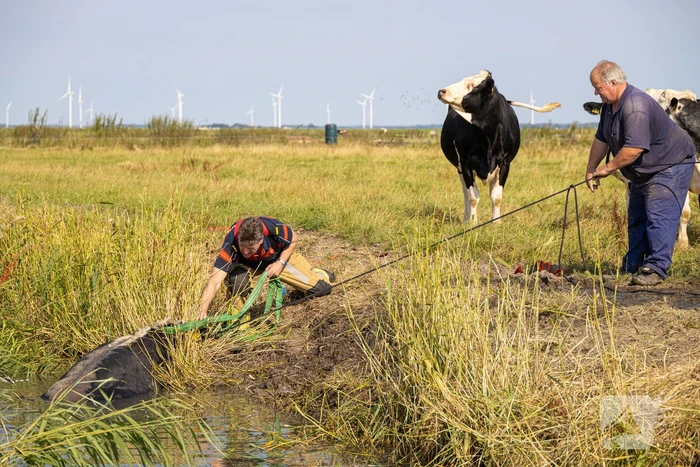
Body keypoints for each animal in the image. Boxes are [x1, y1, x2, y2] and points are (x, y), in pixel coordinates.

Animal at [438, 70, 561, 223]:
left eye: (473, 85)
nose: (442, 91)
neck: (487, 137)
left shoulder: (505, 163)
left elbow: (496, 197)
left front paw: (496, 222)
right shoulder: (465, 163)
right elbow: (473, 197)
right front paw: (473, 222)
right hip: (459, 167)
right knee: (465, 192)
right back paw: (466, 218)